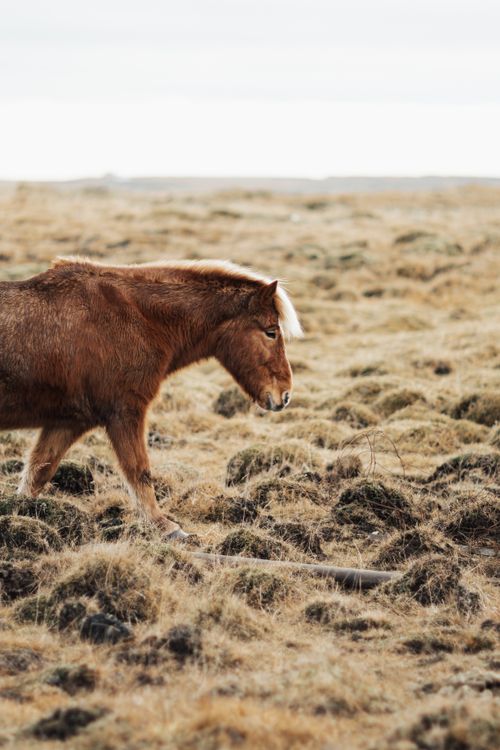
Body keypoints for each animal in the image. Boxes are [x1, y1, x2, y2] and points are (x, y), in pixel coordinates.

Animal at [0, 257, 302, 539]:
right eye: (271, 332)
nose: (284, 395)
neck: (138, 319)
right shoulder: (125, 412)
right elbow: (139, 470)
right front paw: (165, 527)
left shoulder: (68, 421)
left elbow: (38, 472)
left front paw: (18, 515)